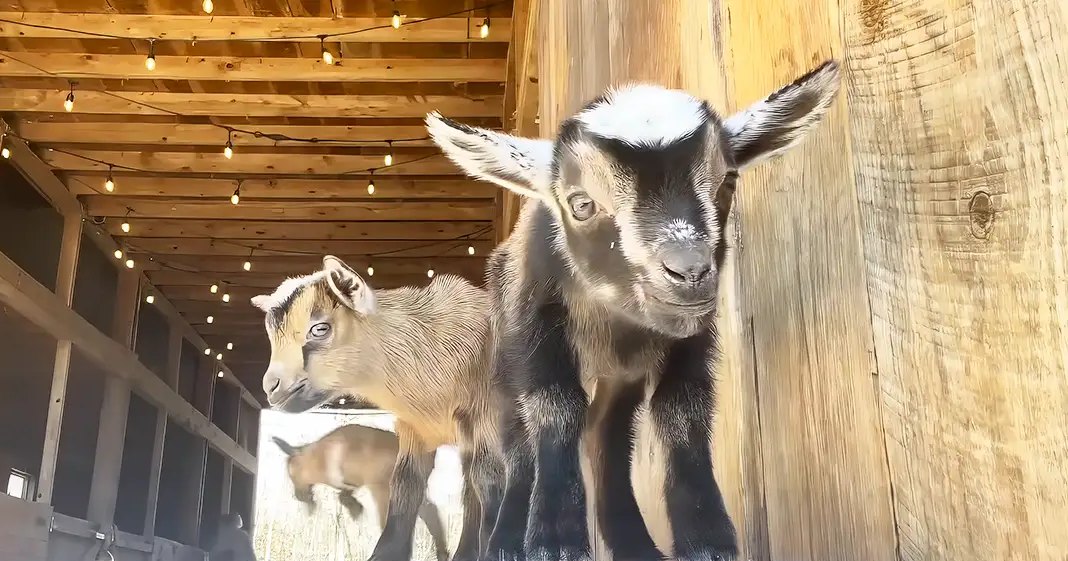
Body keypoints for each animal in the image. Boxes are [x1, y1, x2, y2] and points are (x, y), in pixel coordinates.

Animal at [270, 424, 449, 561]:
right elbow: (345, 496)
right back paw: (442, 552)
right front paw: (356, 510)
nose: (297, 496)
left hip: (390, 492)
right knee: (432, 513)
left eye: (291, 474)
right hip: (414, 492)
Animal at [426, 60, 842, 561]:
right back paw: (506, 539)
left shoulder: (691, 336)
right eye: (581, 204)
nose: (689, 270)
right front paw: (553, 540)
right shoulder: (536, 324)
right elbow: (553, 408)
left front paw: (707, 542)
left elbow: (681, 411)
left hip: (616, 381)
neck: (620, 322)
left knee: (605, 436)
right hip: (502, 368)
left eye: (727, 182)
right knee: (517, 441)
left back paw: (633, 543)